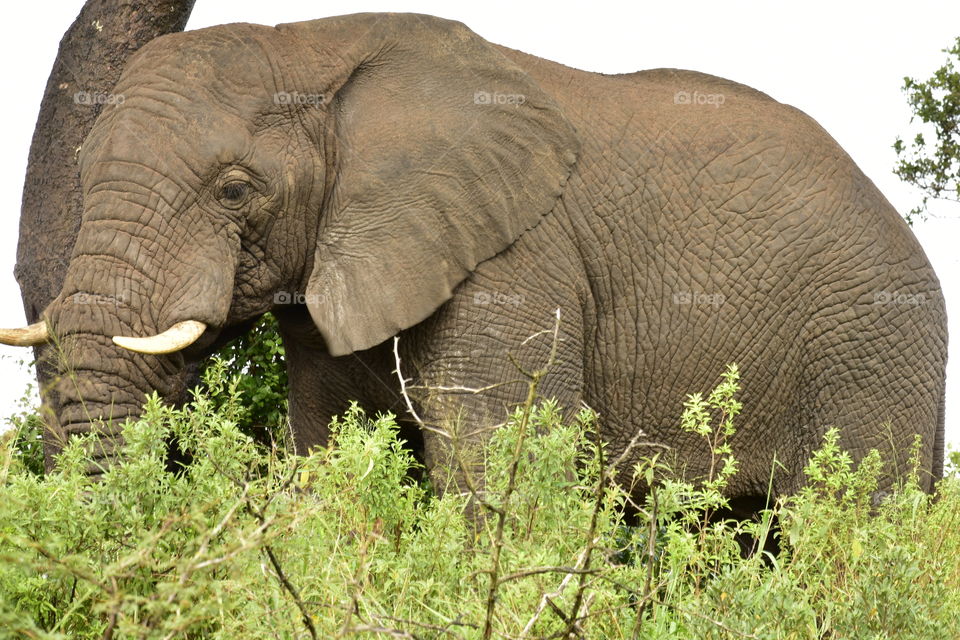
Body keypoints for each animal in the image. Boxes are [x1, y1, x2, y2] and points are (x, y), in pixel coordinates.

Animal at [3, 13, 947, 506]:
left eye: (235, 191)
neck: (315, 44)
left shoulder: (515, 261)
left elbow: (491, 454)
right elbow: (332, 448)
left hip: (872, 344)